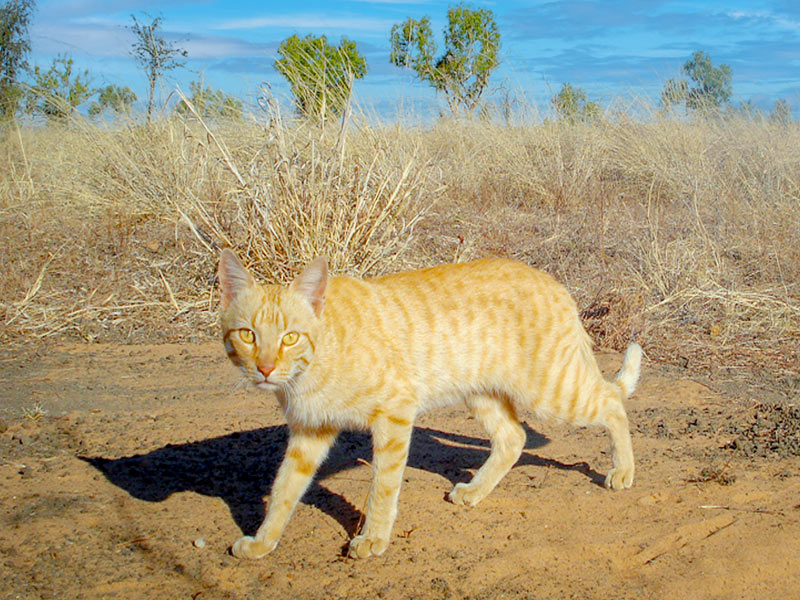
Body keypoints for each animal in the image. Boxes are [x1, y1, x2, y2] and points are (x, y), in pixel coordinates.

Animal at [219, 248, 644, 556]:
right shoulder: (310, 432)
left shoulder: (394, 412)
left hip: (552, 391)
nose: (265, 368)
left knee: (611, 402)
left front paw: (373, 539)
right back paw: (475, 491)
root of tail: (553, 281)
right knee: (514, 438)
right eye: (247, 334)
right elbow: (283, 490)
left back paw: (622, 471)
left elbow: (383, 486)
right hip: (483, 394)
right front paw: (262, 542)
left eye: (290, 337)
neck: (311, 367)